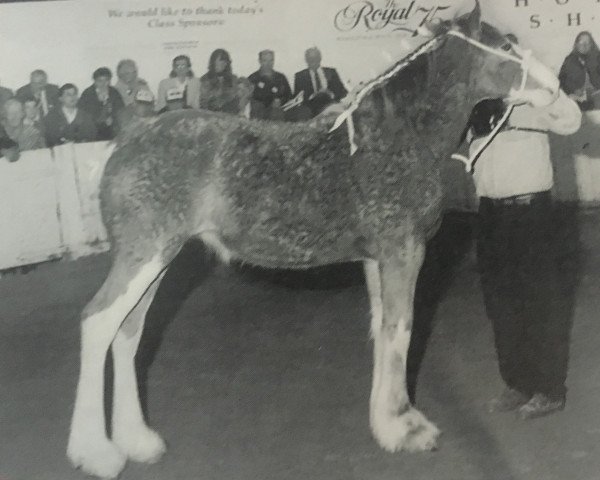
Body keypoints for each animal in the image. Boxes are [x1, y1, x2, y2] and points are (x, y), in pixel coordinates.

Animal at [68, 2, 560, 476]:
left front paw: (383, 423)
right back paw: (96, 453)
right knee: (98, 321)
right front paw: (405, 427)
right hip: (145, 255)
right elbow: (401, 330)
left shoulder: (377, 258)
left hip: (158, 261)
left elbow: (381, 329)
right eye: (505, 46)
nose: (554, 88)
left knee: (128, 330)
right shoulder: (403, 251)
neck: (398, 134)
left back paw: (138, 441)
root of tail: (126, 141)